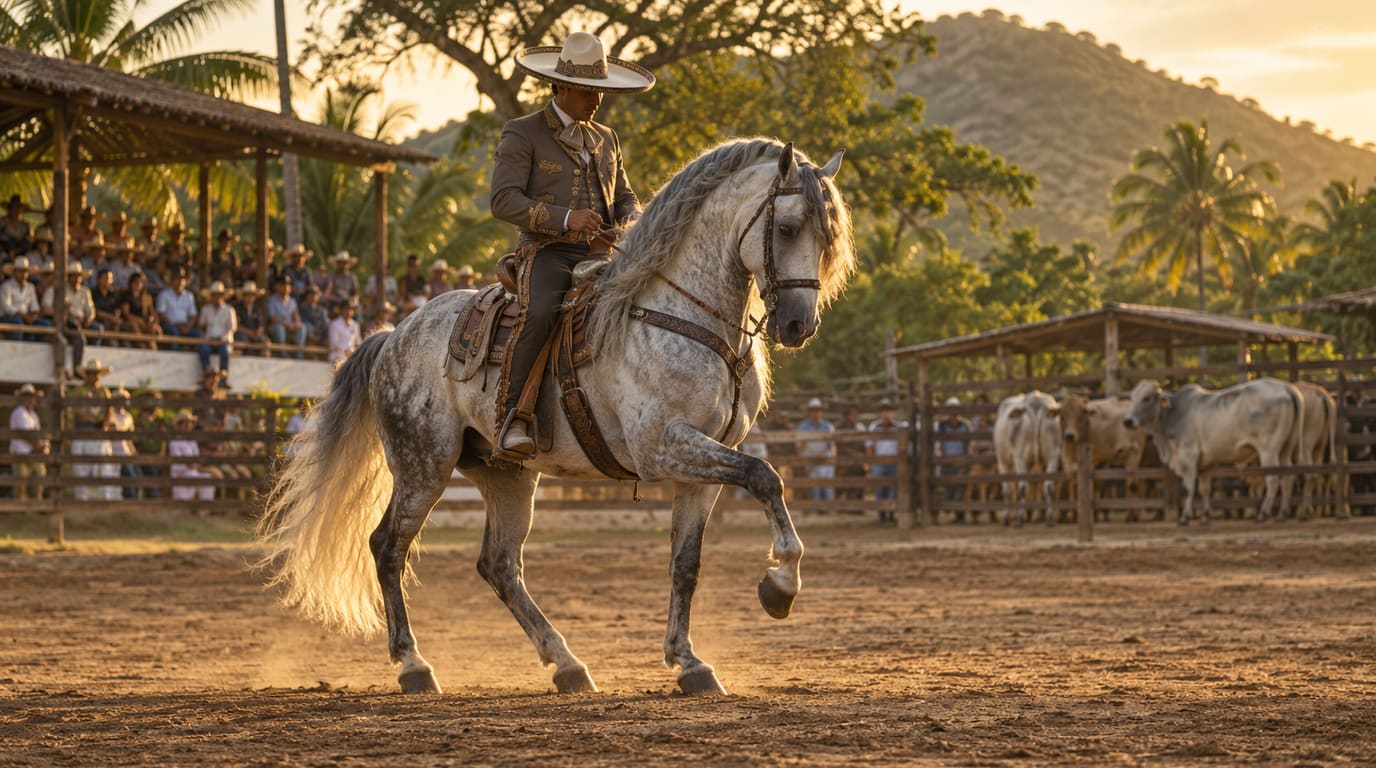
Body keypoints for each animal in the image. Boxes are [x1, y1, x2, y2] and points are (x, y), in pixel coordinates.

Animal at [256, 137, 856, 697]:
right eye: (788, 227)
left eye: (828, 238)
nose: (799, 324)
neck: (679, 314)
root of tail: (392, 334)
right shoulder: (665, 448)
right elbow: (766, 476)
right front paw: (780, 586)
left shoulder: (701, 467)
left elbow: (686, 563)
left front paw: (690, 662)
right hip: (423, 465)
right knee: (388, 547)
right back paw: (414, 665)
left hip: (505, 474)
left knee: (499, 565)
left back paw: (567, 664)